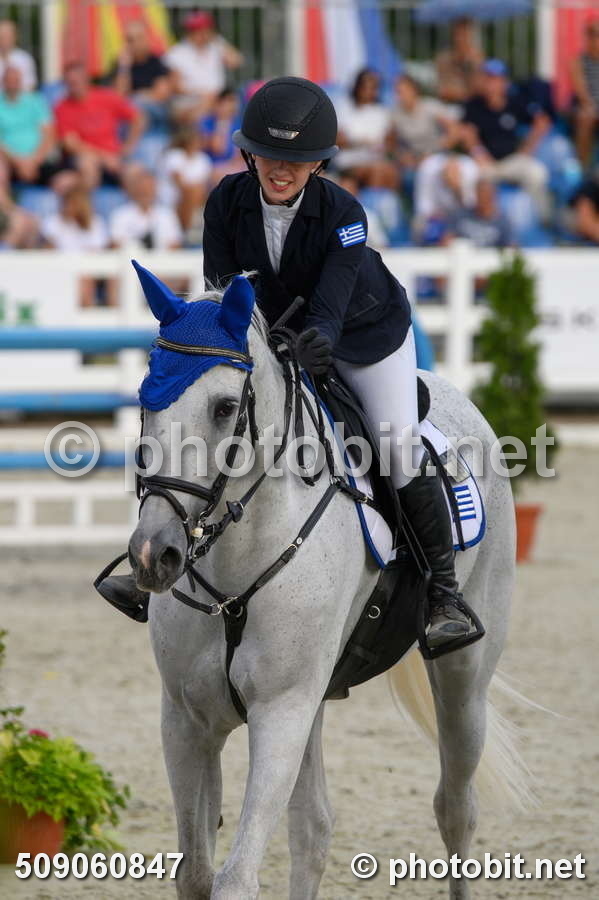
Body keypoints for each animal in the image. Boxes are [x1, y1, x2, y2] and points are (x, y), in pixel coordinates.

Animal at [126, 267, 529, 900]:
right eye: (146, 400)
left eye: (224, 407)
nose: (153, 555)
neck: (235, 569)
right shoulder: (188, 719)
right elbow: (195, 873)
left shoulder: (281, 713)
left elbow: (235, 878)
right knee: (313, 829)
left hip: (464, 680)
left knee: (456, 808)